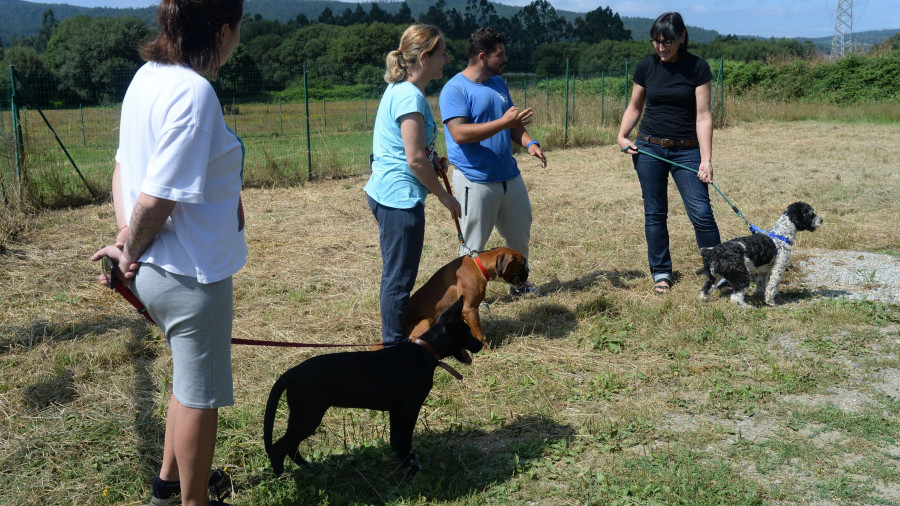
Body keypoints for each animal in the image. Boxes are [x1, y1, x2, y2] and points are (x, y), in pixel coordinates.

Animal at [262, 294, 482, 476]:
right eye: (466, 333)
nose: (480, 345)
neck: (425, 351)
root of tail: (292, 373)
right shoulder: (409, 409)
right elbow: (404, 439)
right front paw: (410, 468)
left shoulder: (397, 410)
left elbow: (396, 440)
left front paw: (407, 461)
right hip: (307, 416)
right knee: (279, 447)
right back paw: (281, 475)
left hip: (301, 416)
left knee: (290, 446)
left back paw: (306, 465)